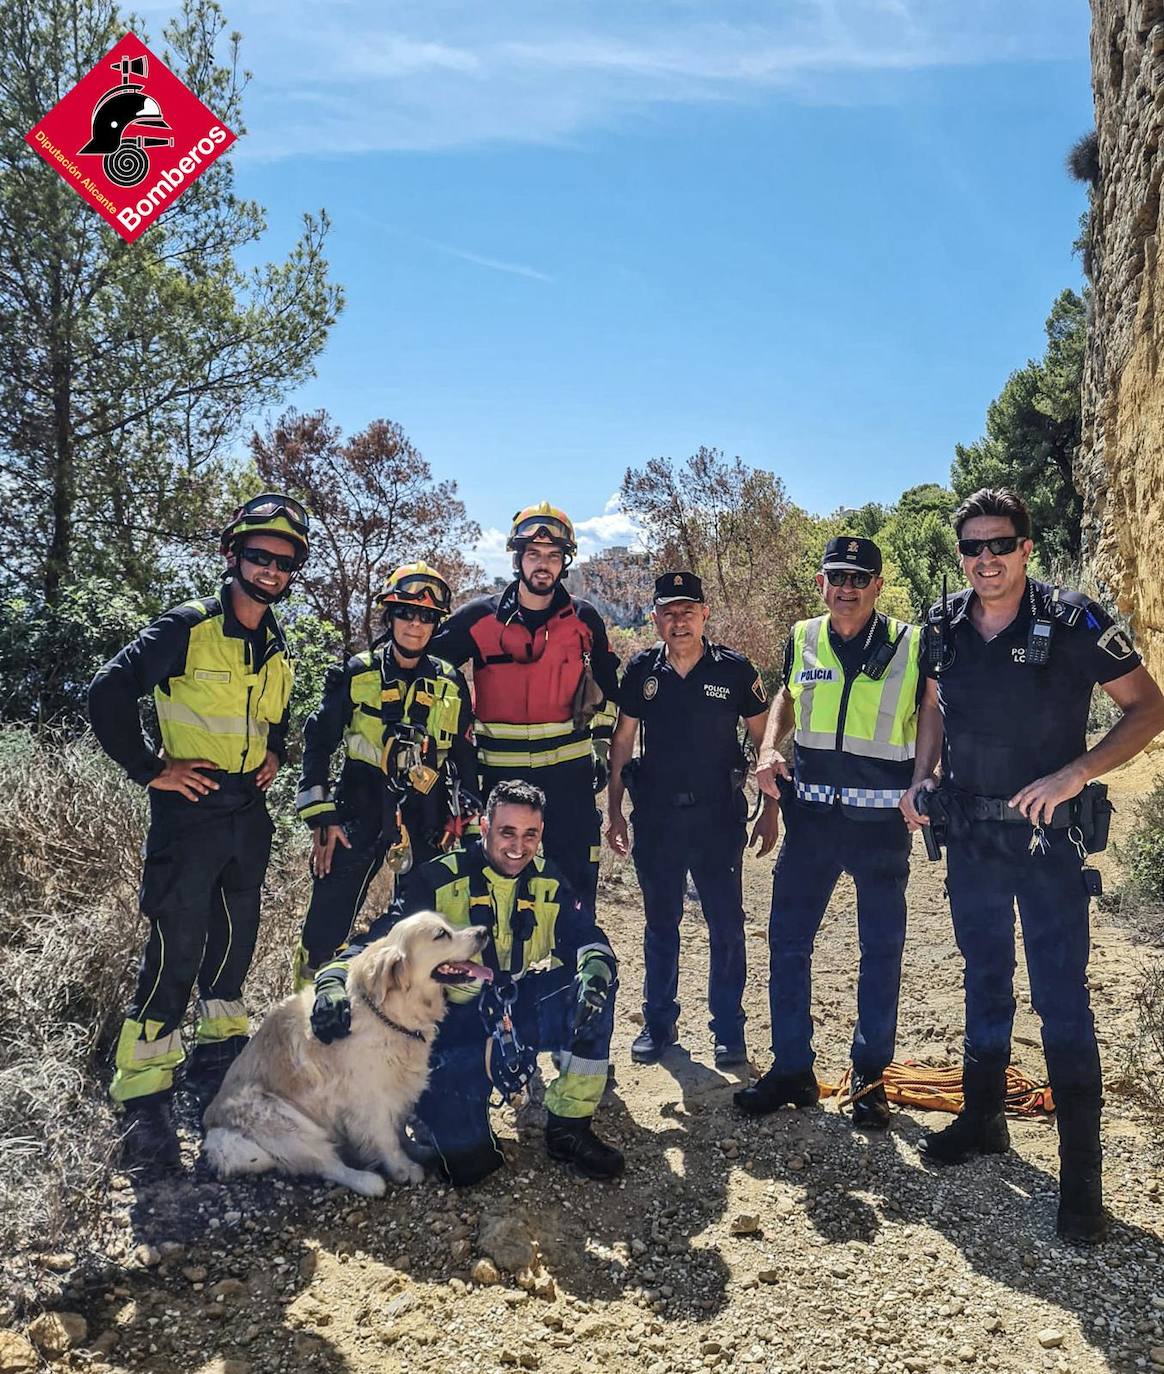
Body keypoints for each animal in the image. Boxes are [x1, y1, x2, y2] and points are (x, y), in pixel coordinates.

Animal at [202, 912, 489, 1192]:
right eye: (441, 934)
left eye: (449, 922)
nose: (484, 931)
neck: (388, 1012)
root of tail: (210, 1123)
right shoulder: (368, 1098)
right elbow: (385, 1137)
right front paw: (402, 1168)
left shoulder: (397, 1086)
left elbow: (397, 1129)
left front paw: (414, 1149)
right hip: (281, 1120)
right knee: (325, 1163)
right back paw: (367, 1182)